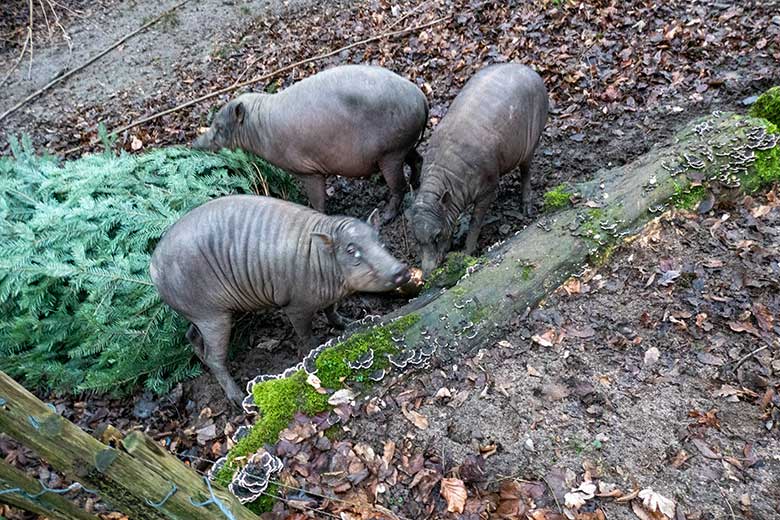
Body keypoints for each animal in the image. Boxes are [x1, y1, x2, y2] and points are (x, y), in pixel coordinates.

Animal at [149, 193, 412, 404]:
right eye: (351, 250)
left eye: (380, 241)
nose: (402, 270)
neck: (323, 261)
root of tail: (153, 268)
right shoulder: (296, 305)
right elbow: (305, 334)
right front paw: (315, 349)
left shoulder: (330, 296)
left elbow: (331, 309)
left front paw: (346, 323)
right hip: (211, 315)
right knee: (215, 358)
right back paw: (237, 398)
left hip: (196, 313)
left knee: (191, 336)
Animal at [193, 64, 430, 222]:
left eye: (219, 127)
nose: (195, 144)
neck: (259, 126)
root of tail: (422, 98)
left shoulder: (308, 170)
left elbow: (317, 201)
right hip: (403, 146)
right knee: (417, 160)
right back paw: (416, 183)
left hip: (390, 153)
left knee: (398, 186)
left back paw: (387, 216)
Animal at [408, 63, 548, 274]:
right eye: (417, 240)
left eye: (437, 235)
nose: (427, 274)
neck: (444, 177)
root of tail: (532, 71)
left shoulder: (487, 189)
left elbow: (475, 222)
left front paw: (467, 252)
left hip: (532, 141)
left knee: (526, 170)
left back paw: (526, 206)